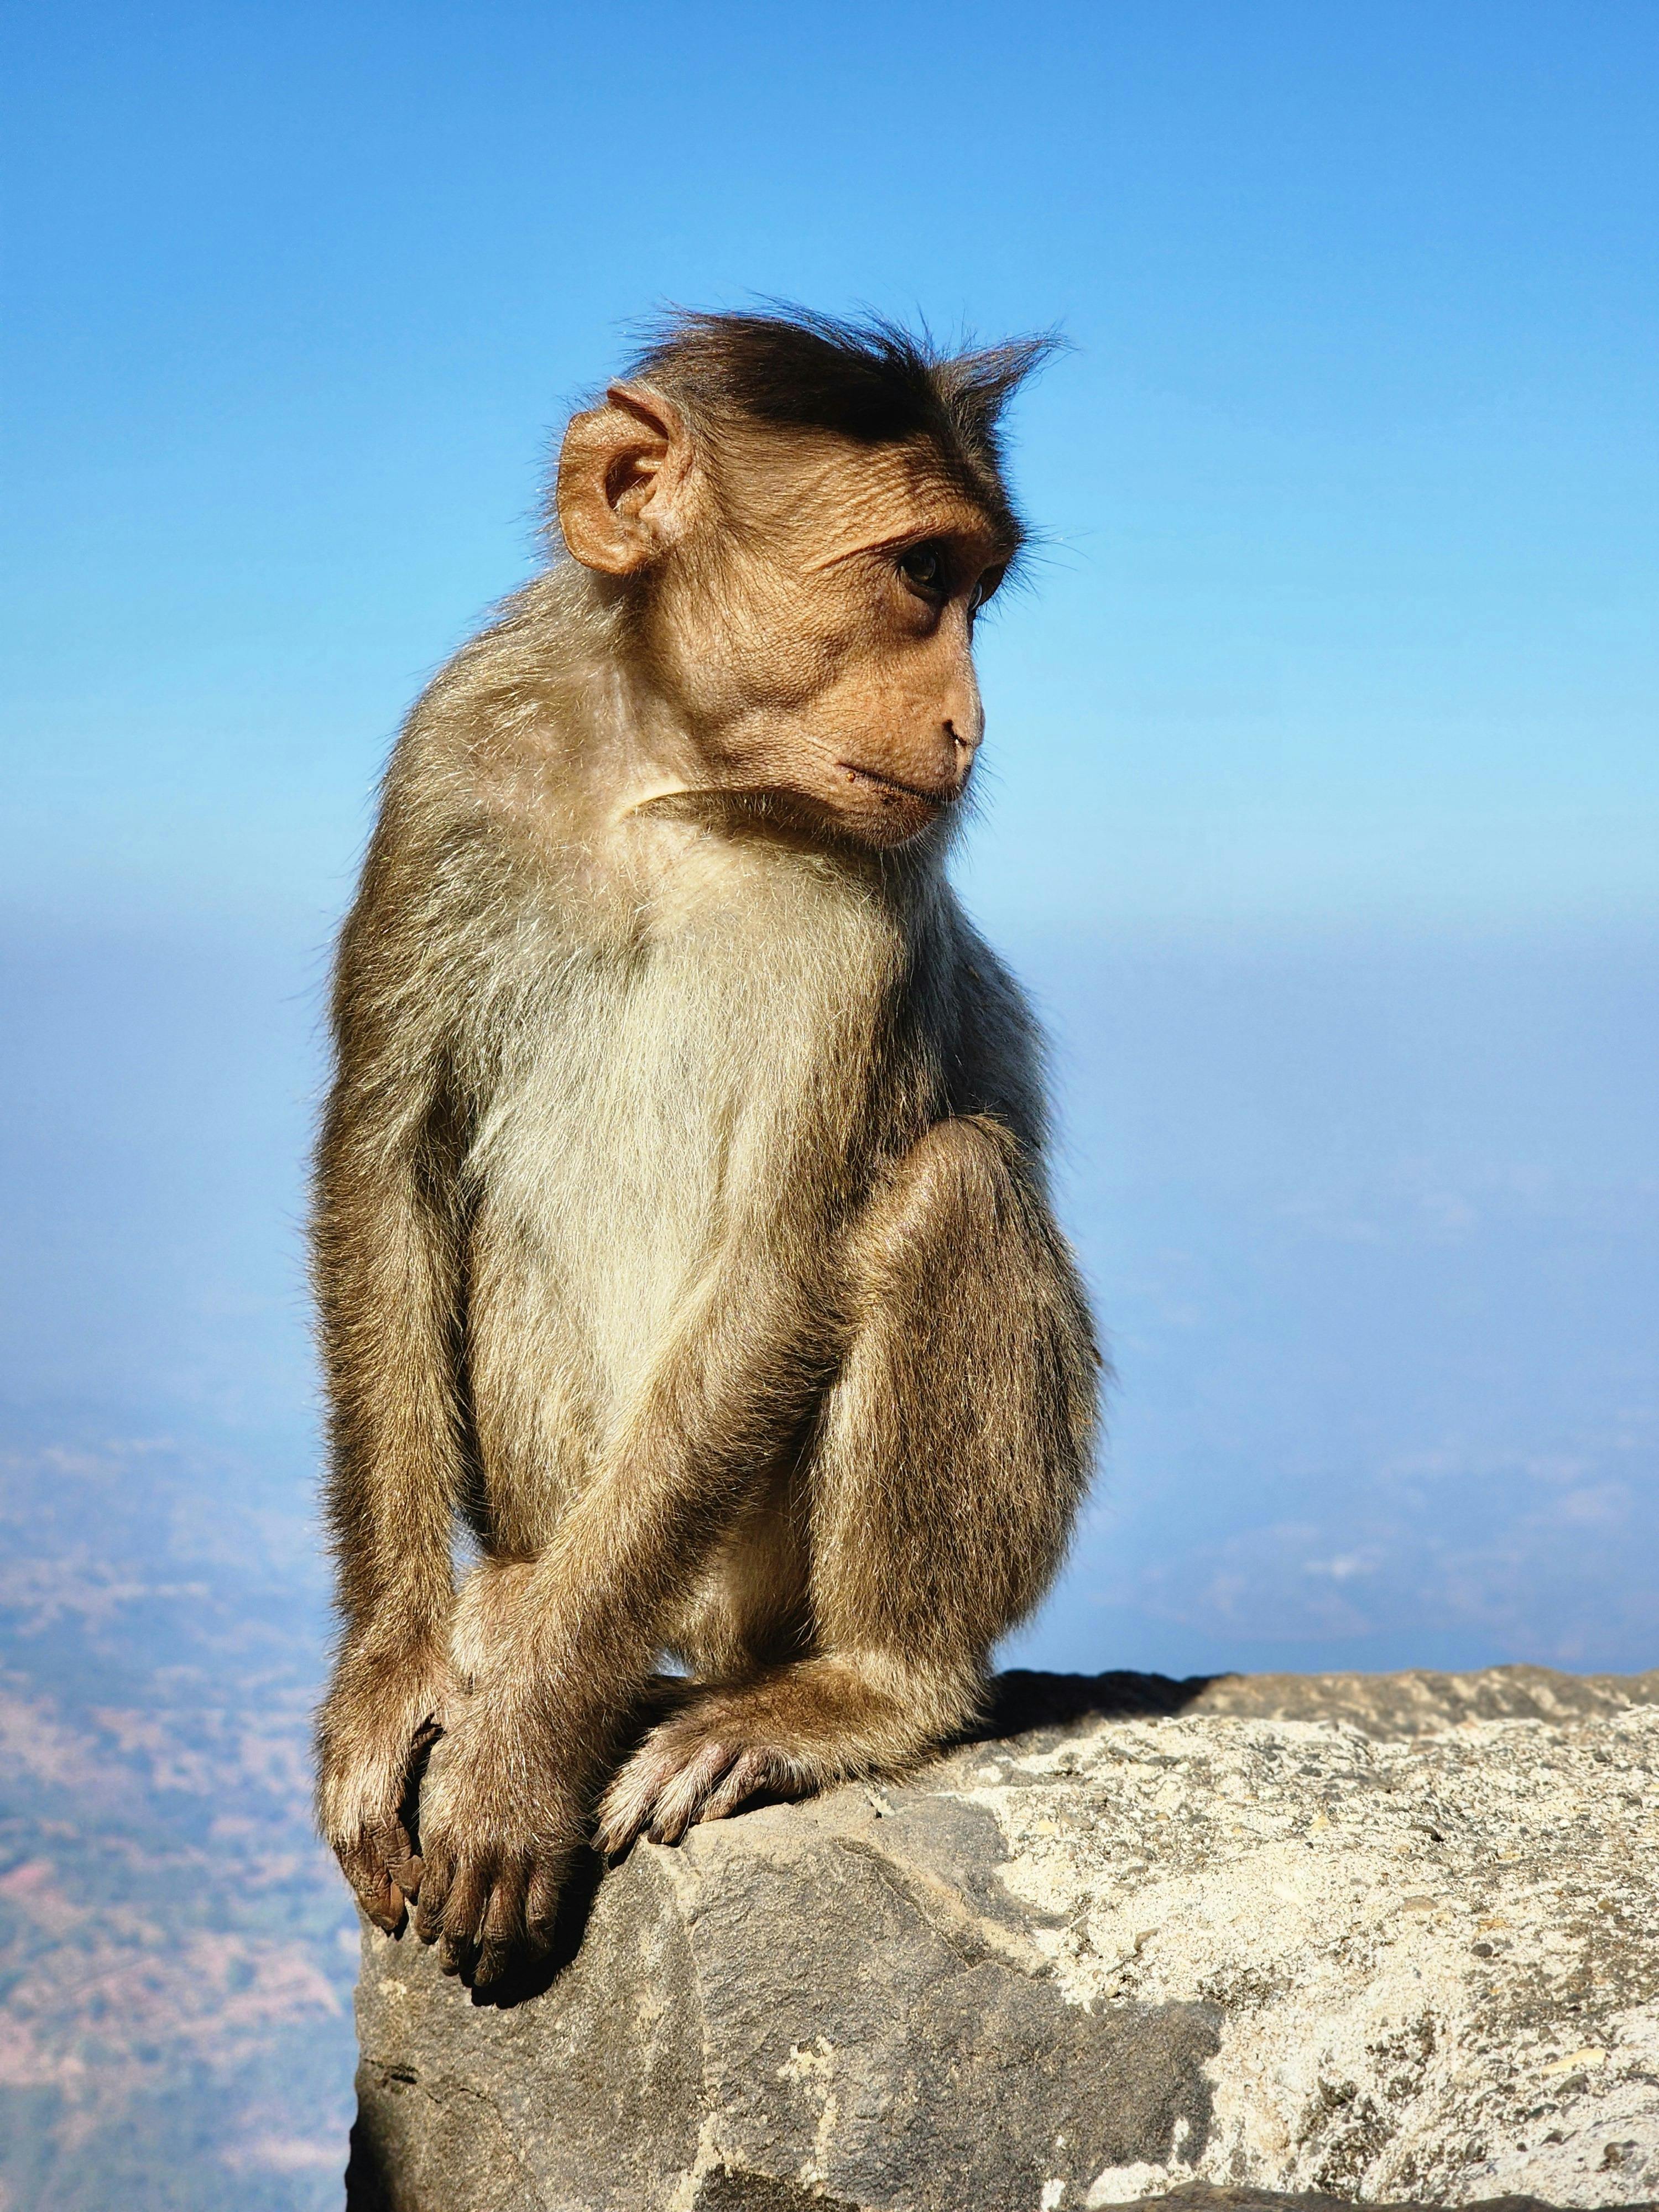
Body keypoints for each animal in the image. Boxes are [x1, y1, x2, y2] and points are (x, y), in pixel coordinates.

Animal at [312, 308, 1100, 1990]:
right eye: (919, 576)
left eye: (973, 589)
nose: (969, 719)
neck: (672, 787)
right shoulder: (450, 759)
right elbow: (388, 1163)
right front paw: (390, 1676)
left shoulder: (879, 897)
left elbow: (782, 1257)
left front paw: (524, 1753)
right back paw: (516, 1604)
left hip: (756, 1573)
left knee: (948, 1185)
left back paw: (855, 1685)